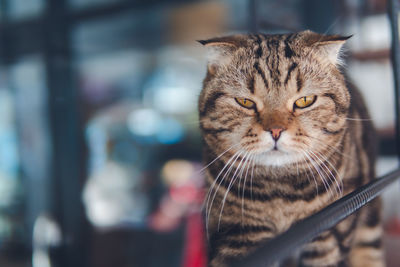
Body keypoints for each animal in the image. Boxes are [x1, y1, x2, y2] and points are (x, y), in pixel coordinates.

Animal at [198, 30, 382, 266]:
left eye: (305, 100)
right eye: (245, 102)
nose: (276, 130)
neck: (280, 194)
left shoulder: (330, 236)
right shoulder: (237, 234)